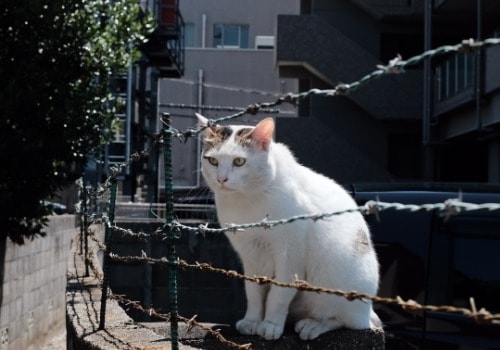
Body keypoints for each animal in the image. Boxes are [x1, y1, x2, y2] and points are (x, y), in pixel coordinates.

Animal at [195, 116, 378, 340]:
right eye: (213, 161)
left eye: (239, 161)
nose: (221, 179)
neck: (247, 201)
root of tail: (368, 309)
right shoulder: (250, 256)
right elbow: (253, 292)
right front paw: (252, 321)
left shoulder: (289, 257)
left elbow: (278, 295)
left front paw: (270, 324)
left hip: (334, 283)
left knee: (345, 321)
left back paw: (313, 325)